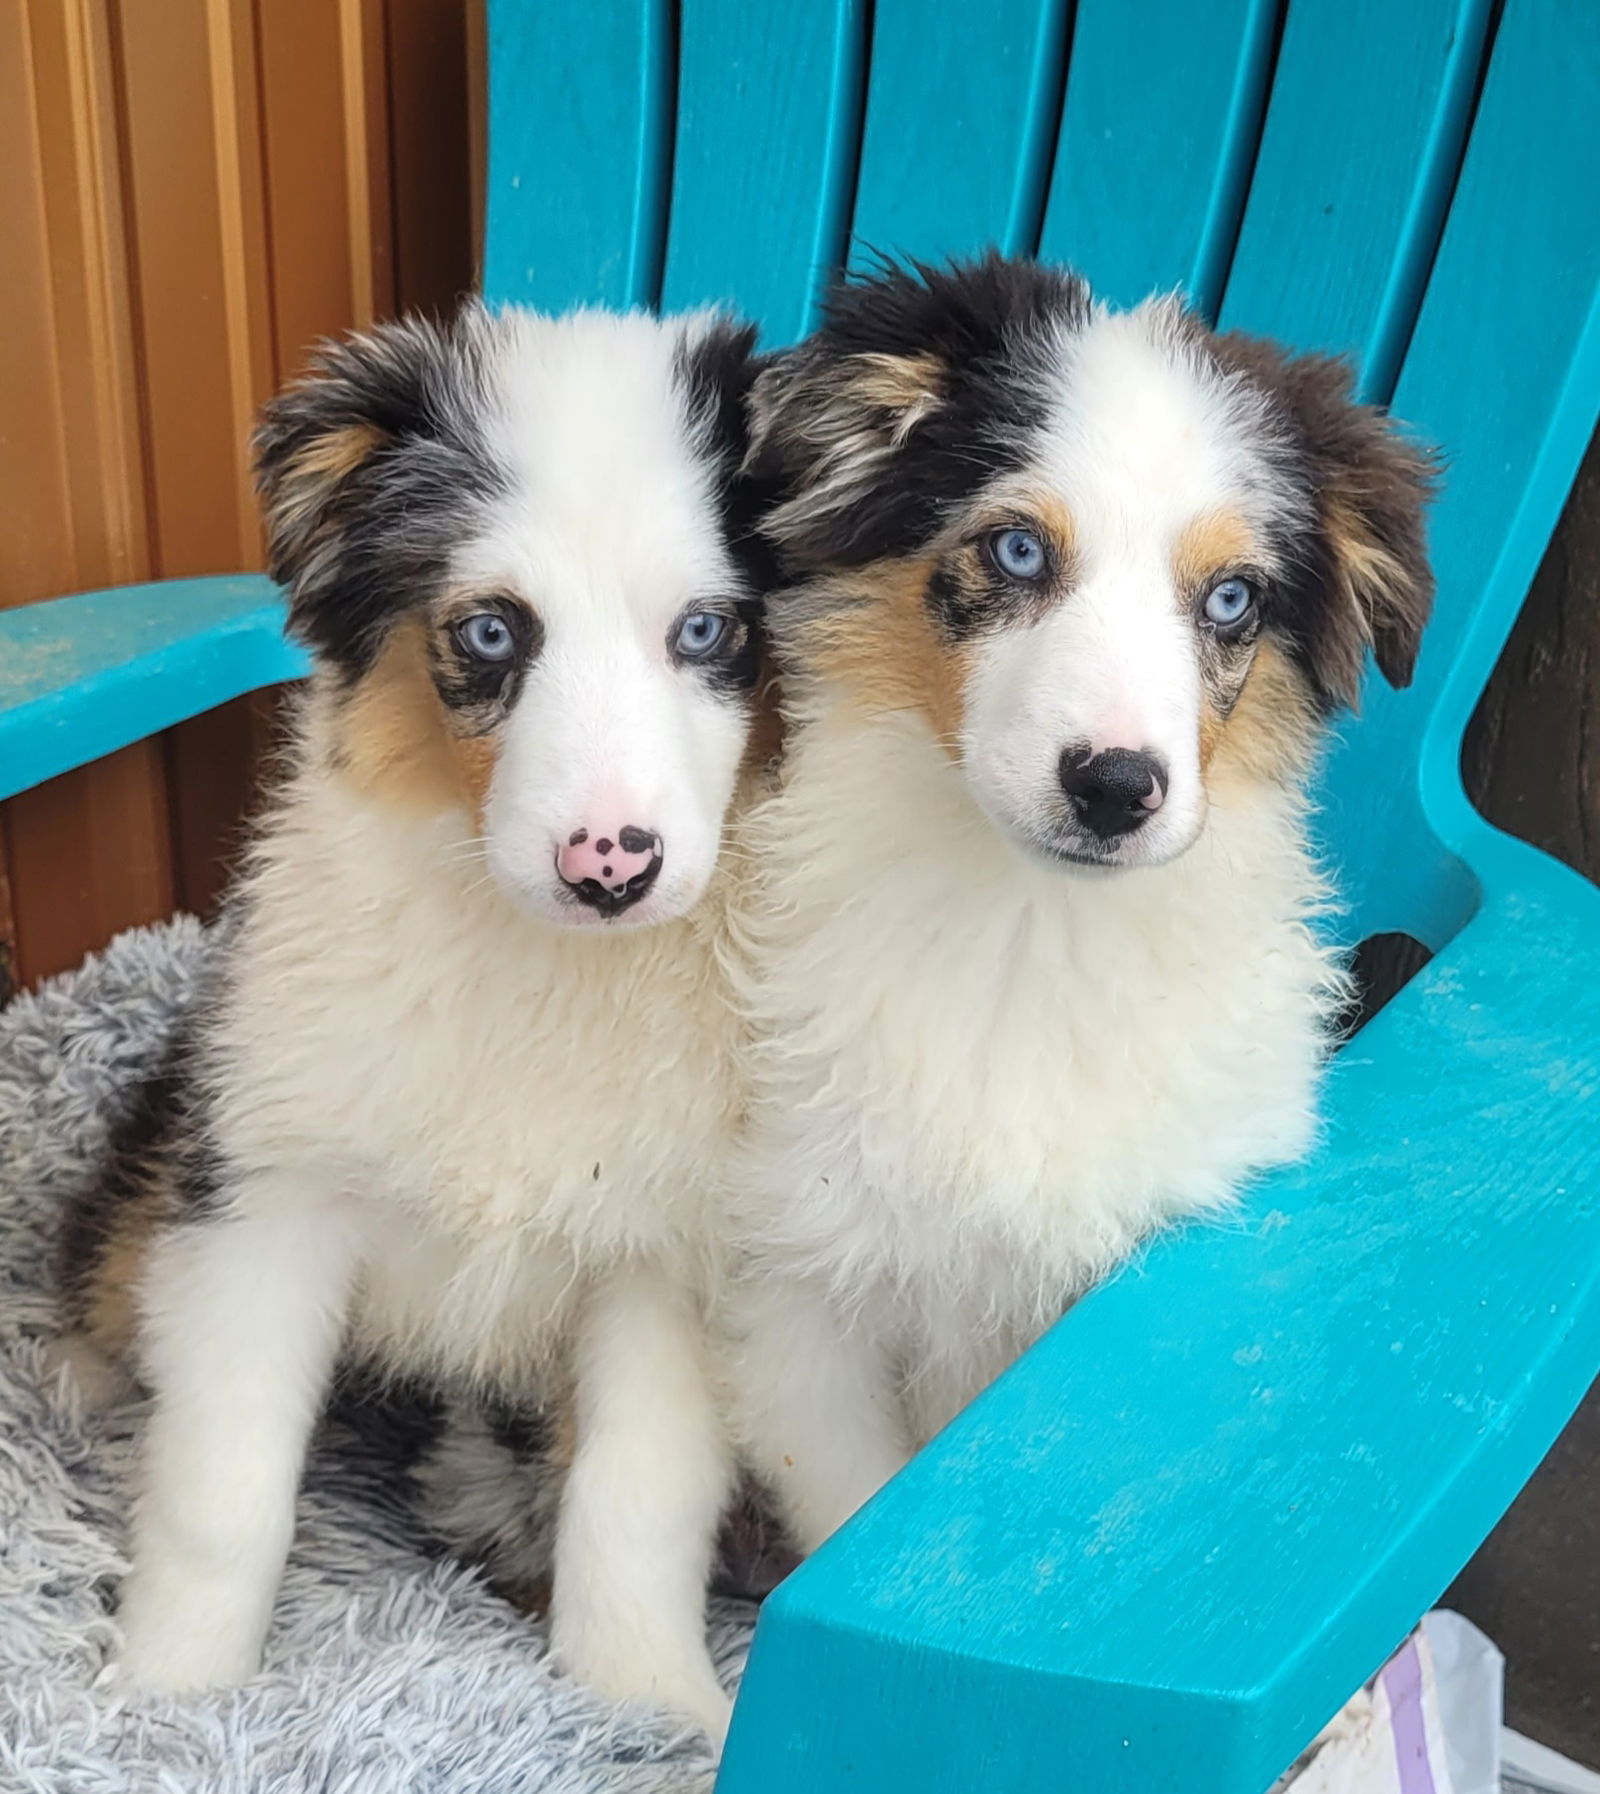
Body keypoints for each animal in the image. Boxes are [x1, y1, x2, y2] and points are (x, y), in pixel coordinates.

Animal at [56, 297, 767, 1736]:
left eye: (707, 632)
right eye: (491, 634)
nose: (609, 867)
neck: (533, 962)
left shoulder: (668, 1263)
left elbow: (635, 1495)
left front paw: (648, 1703)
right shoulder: (259, 1201)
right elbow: (223, 1488)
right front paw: (169, 1692)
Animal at [724, 256, 1434, 1557]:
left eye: (1231, 599)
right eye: (1015, 551)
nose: (1113, 786)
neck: (1029, 934)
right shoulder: (795, 1284)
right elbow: (852, 1505)